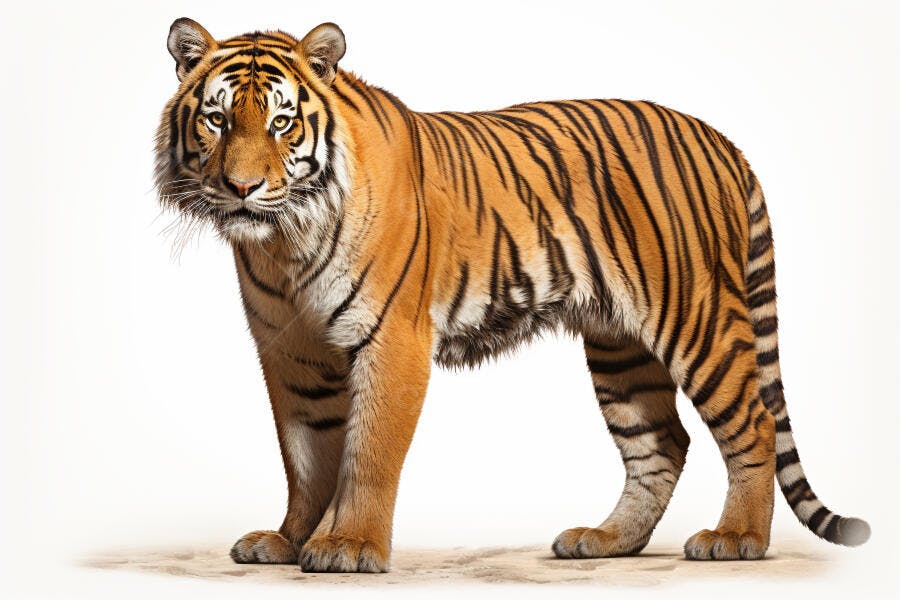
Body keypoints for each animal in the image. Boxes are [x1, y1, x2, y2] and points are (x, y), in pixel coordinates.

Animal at [155, 18, 870, 573]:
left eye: (282, 123)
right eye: (217, 119)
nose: (242, 188)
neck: (285, 242)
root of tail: (723, 140)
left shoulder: (392, 341)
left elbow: (366, 452)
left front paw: (349, 546)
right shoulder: (291, 353)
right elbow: (306, 457)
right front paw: (288, 540)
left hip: (696, 318)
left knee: (751, 422)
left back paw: (737, 537)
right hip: (620, 345)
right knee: (662, 442)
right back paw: (605, 540)